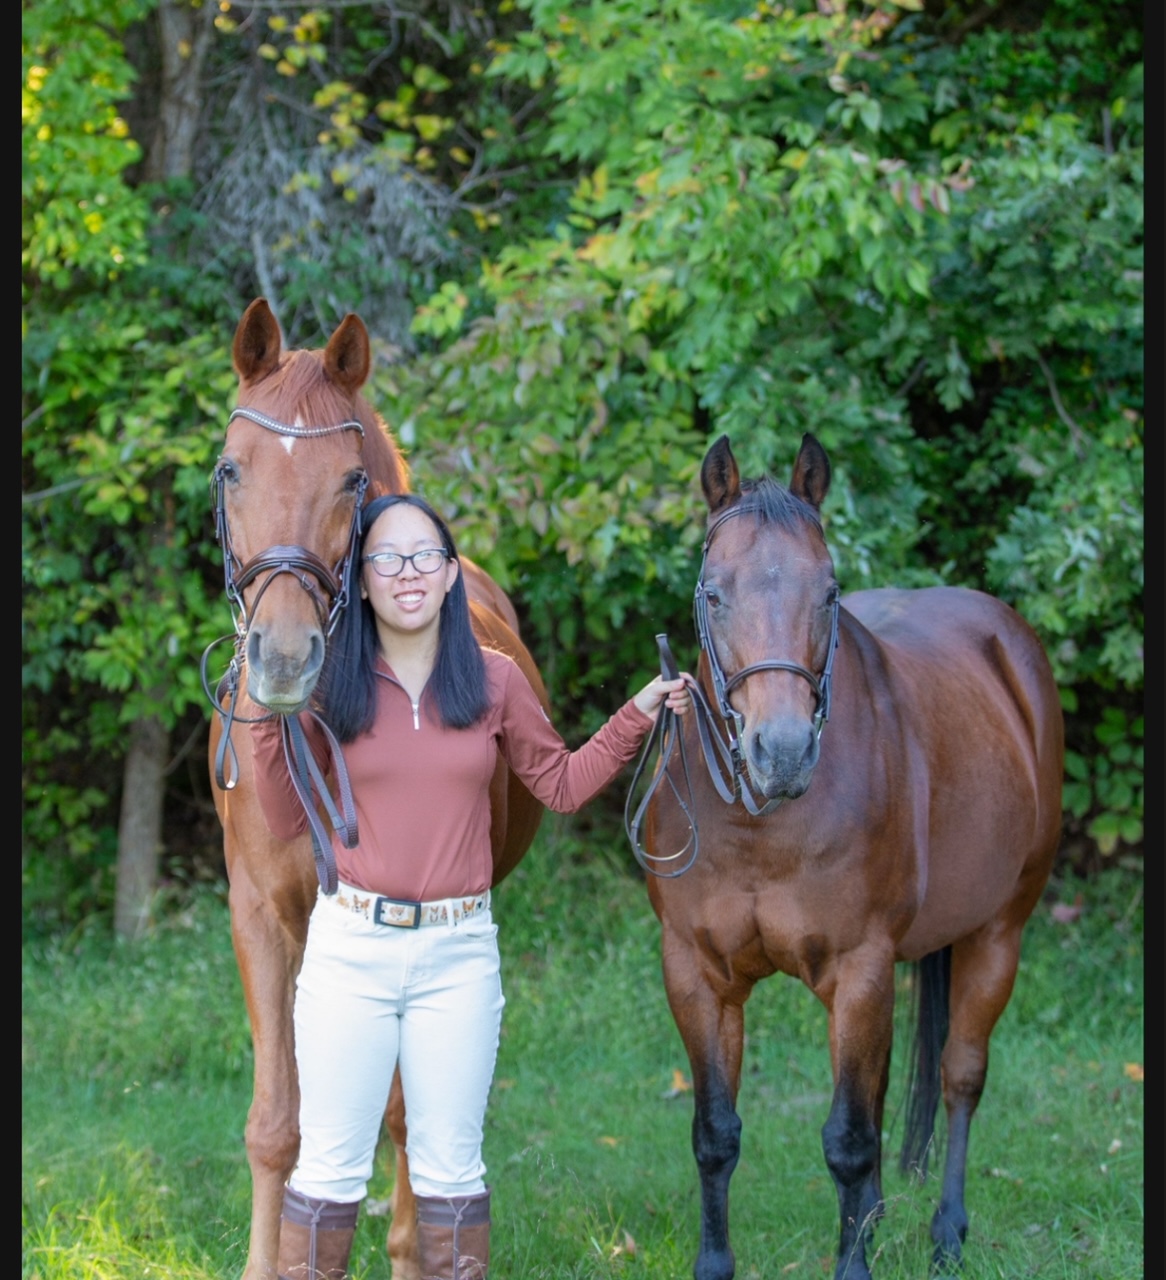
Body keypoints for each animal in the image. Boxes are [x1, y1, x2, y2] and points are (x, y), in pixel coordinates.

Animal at [206, 299, 547, 1280]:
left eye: (352, 480)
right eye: (232, 467)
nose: (283, 660)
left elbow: (403, 1118)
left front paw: (405, 1250)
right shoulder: (258, 915)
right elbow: (276, 1125)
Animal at [647, 435, 1064, 1274]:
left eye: (830, 591)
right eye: (713, 593)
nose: (780, 753)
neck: (758, 829)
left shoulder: (859, 968)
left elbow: (846, 1140)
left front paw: (853, 1262)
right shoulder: (697, 973)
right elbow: (716, 1136)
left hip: (997, 933)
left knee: (959, 1076)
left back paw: (946, 1233)